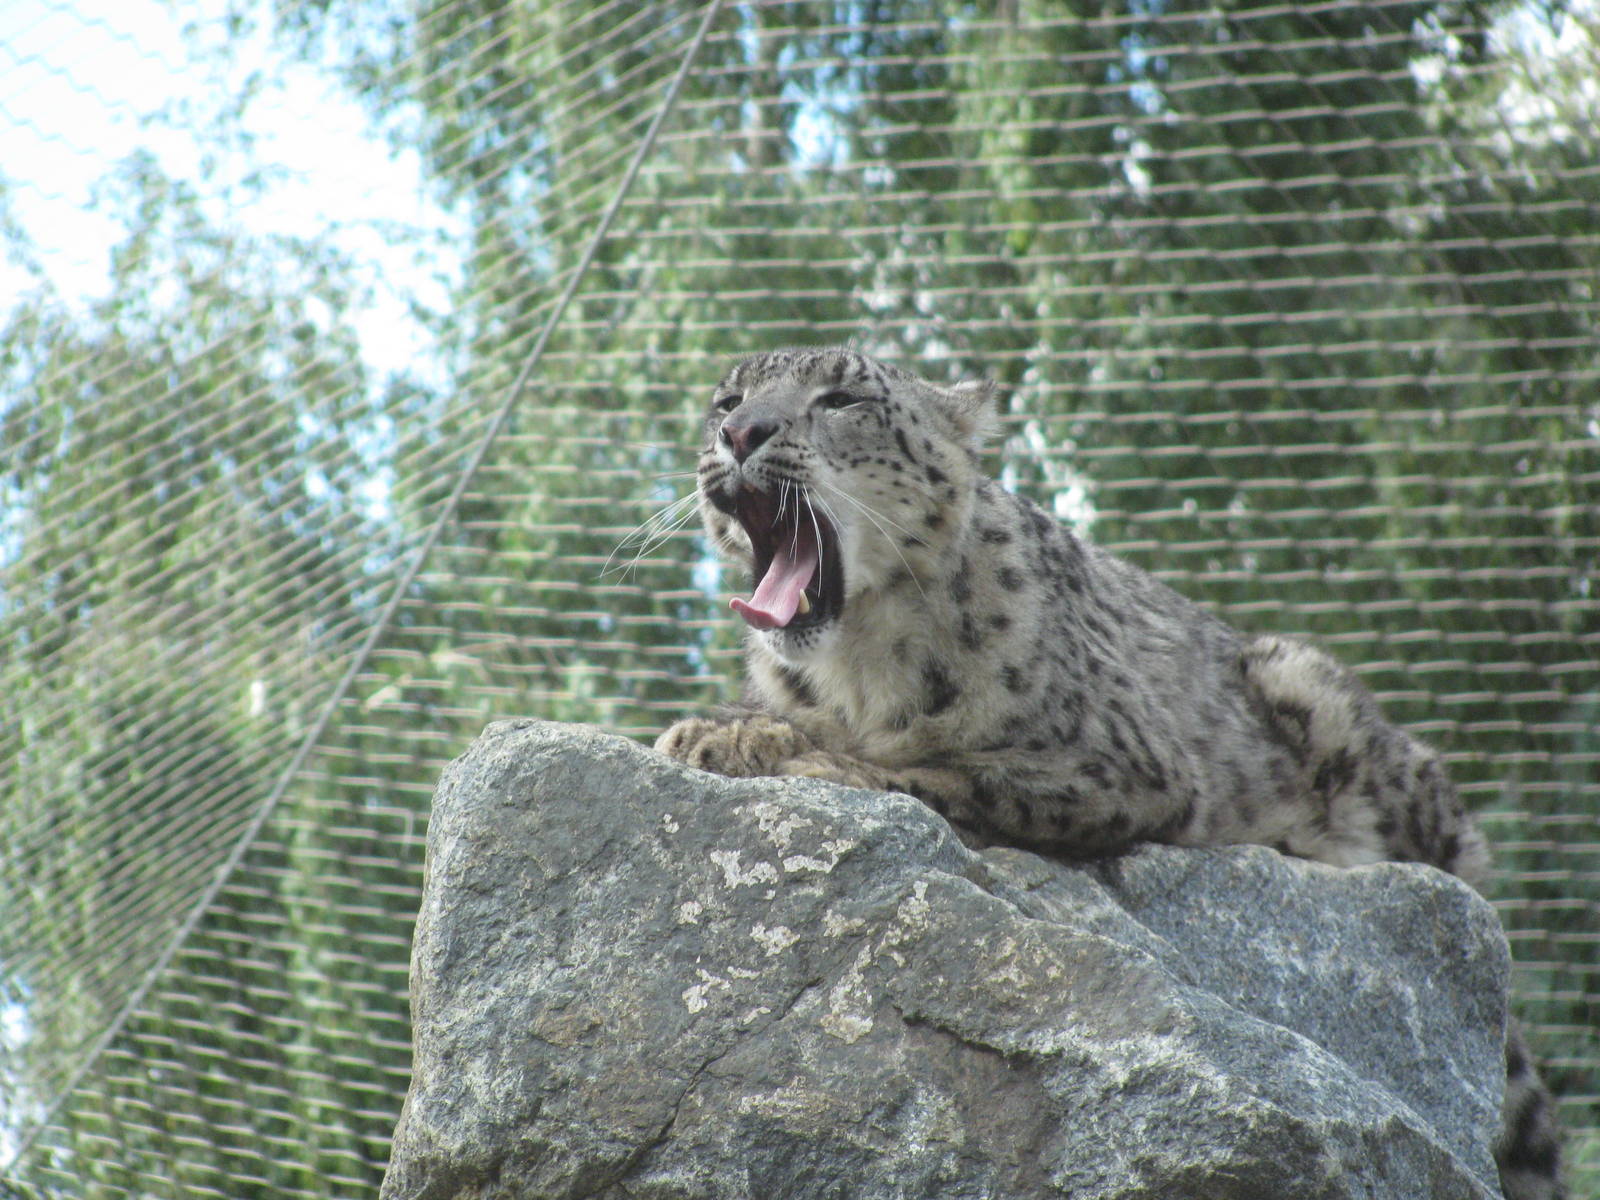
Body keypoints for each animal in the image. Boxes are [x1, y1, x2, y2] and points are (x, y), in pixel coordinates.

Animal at [652, 345, 1563, 1199]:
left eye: (843, 397)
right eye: (726, 399)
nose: (741, 434)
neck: (856, 669)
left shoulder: (1113, 763)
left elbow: (934, 767)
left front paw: (764, 748)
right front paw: (715, 729)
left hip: (1320, 702)